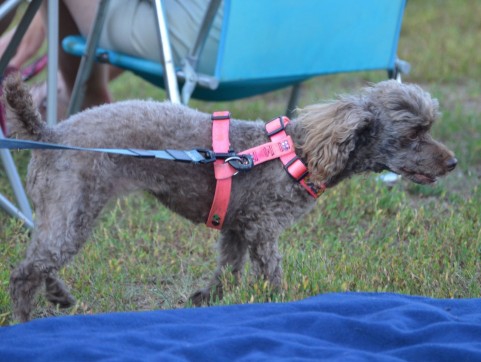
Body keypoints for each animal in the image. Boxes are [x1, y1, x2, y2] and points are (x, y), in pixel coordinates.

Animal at [2, 74, 454, 322]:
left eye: (429, 128)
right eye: (415, 134)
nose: (451, 163)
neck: (299, 152)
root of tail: (50, 133)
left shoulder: (236, 227)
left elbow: (229, 270)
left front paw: (208, 301)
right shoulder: (263, 228)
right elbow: (269, 273)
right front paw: (279, 302)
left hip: (62, 212)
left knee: (40, 259)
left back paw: (59, 296)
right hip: (73, 208)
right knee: (26, 271)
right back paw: (26, 321)